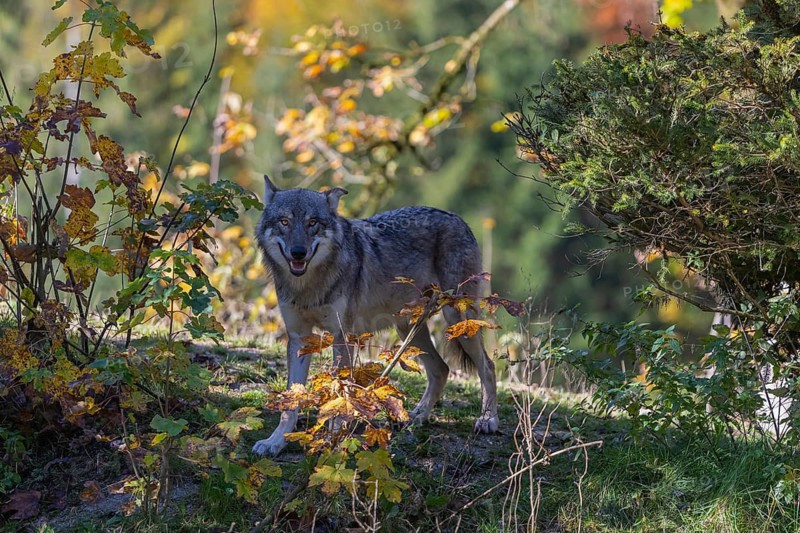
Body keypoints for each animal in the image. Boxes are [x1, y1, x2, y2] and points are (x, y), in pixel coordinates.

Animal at [251, 176, 498, 456]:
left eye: (312, 223)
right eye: (284, 221)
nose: (298, 252)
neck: (308, 285)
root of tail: (456, 217)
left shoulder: (342, 337)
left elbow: (341, 394)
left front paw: (333, 440)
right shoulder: (299, 338)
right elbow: (291, 403)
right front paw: (275, 441)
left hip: (458, 320)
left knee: (487, 366)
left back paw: (487, 420)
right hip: (409, 330)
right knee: (441, 368)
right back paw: (417, 416)